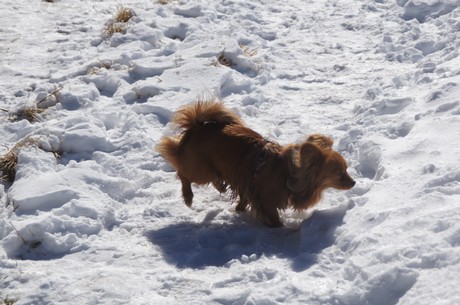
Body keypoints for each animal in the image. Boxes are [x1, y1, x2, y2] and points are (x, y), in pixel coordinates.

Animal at [156, 101, 354, 226]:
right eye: (339, 173)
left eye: (347, 170)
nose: (354, 182)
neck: (288, 174)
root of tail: (196, 126)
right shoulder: (263, 199)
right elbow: (273, 218)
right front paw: (279, 229)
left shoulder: (247, 186)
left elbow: (243, 201)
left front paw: (238, 210)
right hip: (201, 171)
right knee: (183, 174)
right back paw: (188, 197)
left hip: (212, 168)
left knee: (211, 177)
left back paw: (220, 186)